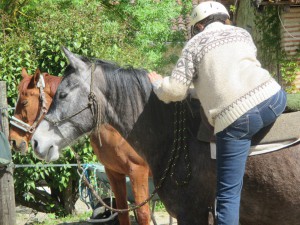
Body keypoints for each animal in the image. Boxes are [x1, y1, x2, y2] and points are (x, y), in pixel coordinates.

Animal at [8, 67, 152, 225]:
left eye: (24, 102)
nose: (13, 140)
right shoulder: (114, 173)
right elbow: (122, 212)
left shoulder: (137, 173)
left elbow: (143, 214)